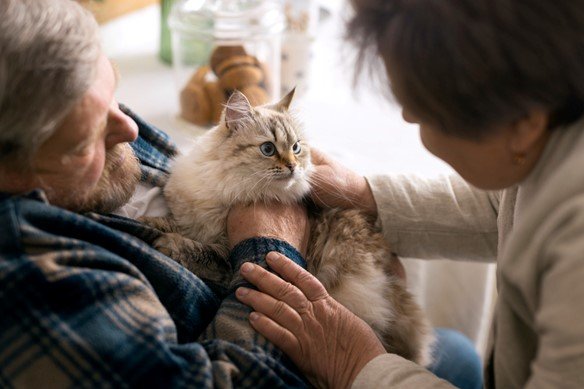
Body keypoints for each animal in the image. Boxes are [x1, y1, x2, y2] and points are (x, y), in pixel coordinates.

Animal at [148, 89, 436, 366]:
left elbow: (201, 250)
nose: (293, 166)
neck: (228, 188)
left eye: (296, 148)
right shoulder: (189, 216)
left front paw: (165, 242)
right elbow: (173, 223)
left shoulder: (227, 256)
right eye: (268, 149)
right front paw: (148, 223)